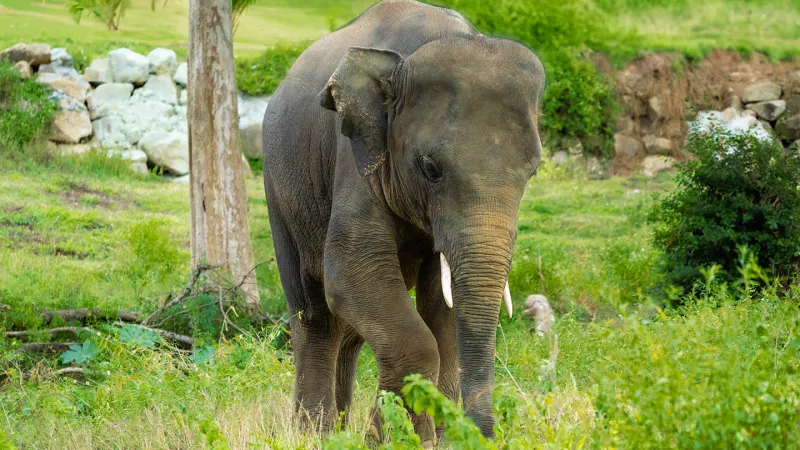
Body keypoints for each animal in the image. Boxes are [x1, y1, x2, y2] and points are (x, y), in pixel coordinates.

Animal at [261, 0, 544, 443]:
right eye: (430, 168)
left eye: (533, 172)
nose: (482, 435)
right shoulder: (356, 152)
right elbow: (351, 271)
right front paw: (394, 440)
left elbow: (441, 309)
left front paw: (432, 438)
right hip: (280, 193)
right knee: (315, 313)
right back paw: (316, 435)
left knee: (348, 331)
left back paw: (338, 429)